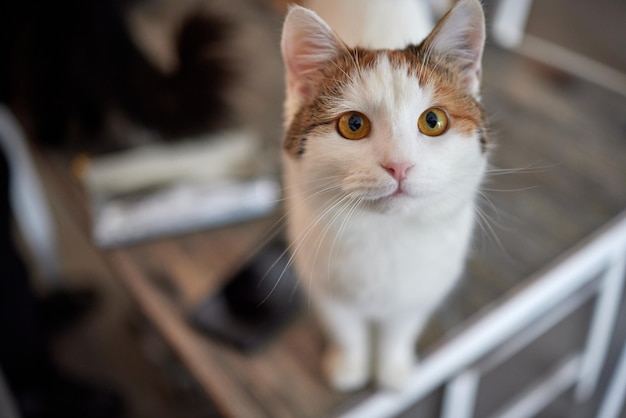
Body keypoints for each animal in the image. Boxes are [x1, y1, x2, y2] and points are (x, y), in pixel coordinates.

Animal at [280, 0, 488, 392]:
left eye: (433, 121)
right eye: (353, 125)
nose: (399, 165)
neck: (385, 235)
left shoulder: (422, 291)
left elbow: (400, 330)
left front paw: (393, 369)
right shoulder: (325, 287)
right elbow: (346, 330)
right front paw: (350, 365)